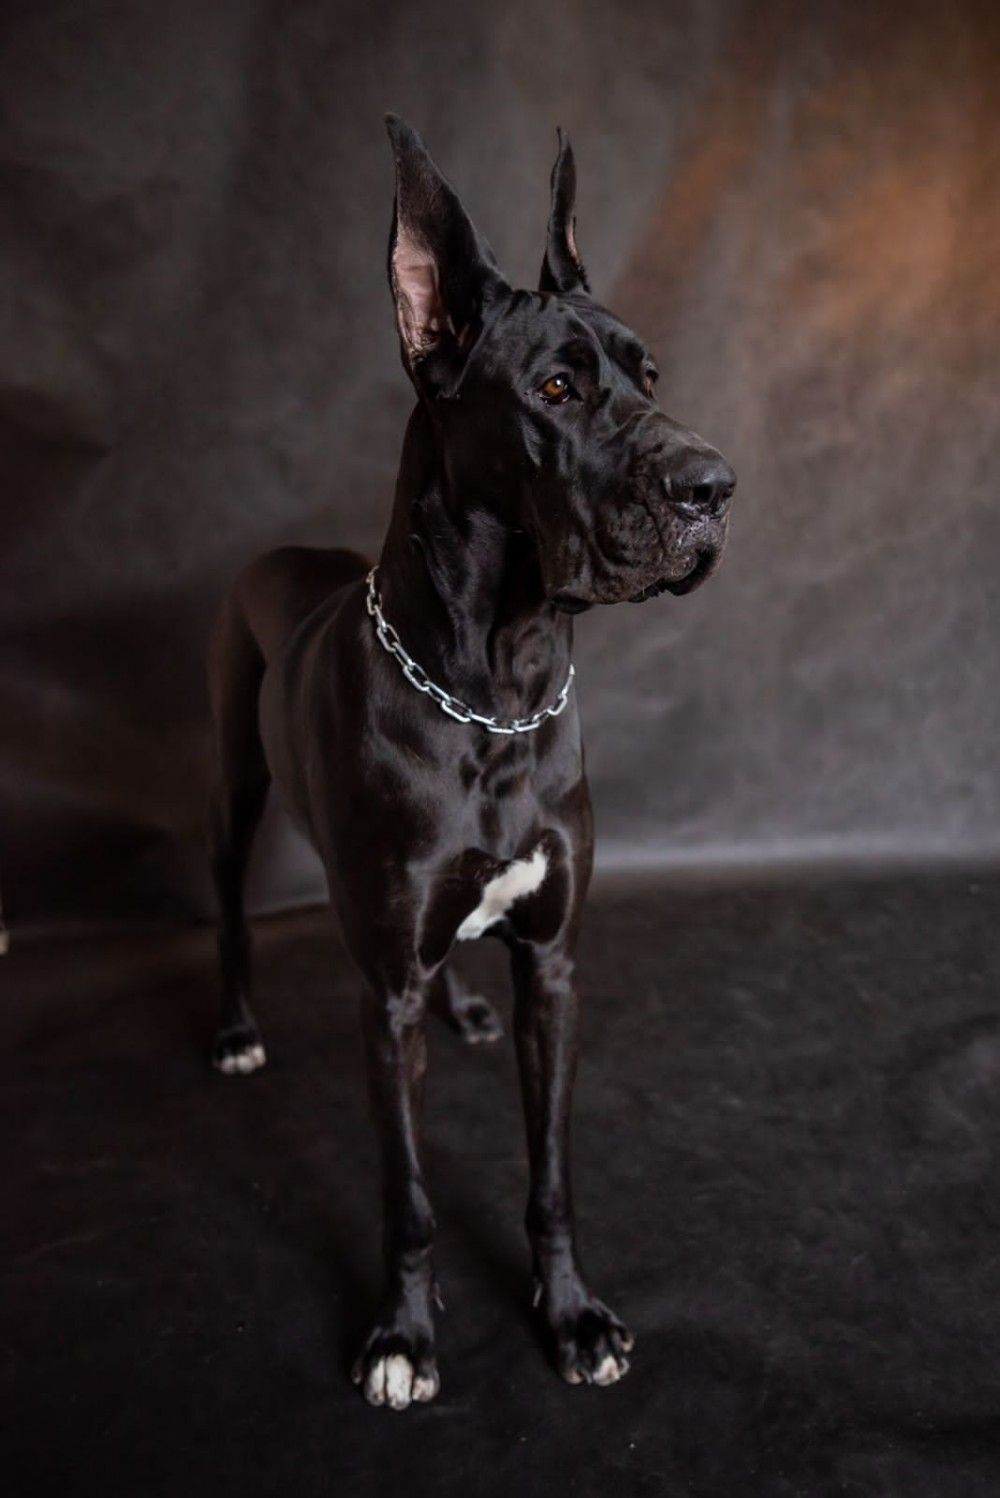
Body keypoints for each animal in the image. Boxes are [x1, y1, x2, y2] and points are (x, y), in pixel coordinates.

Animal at [207, 116, 735, 1410]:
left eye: (650, 377)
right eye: (555, 388)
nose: (714, 487)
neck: (495, 683)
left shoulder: (554, 964)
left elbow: (549, 1174)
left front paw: (573, 1314)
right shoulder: (380, 994)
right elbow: (407, 1193)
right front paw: (402, 1334)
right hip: (236, 785)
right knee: (231, 901)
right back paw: (236, 1027)